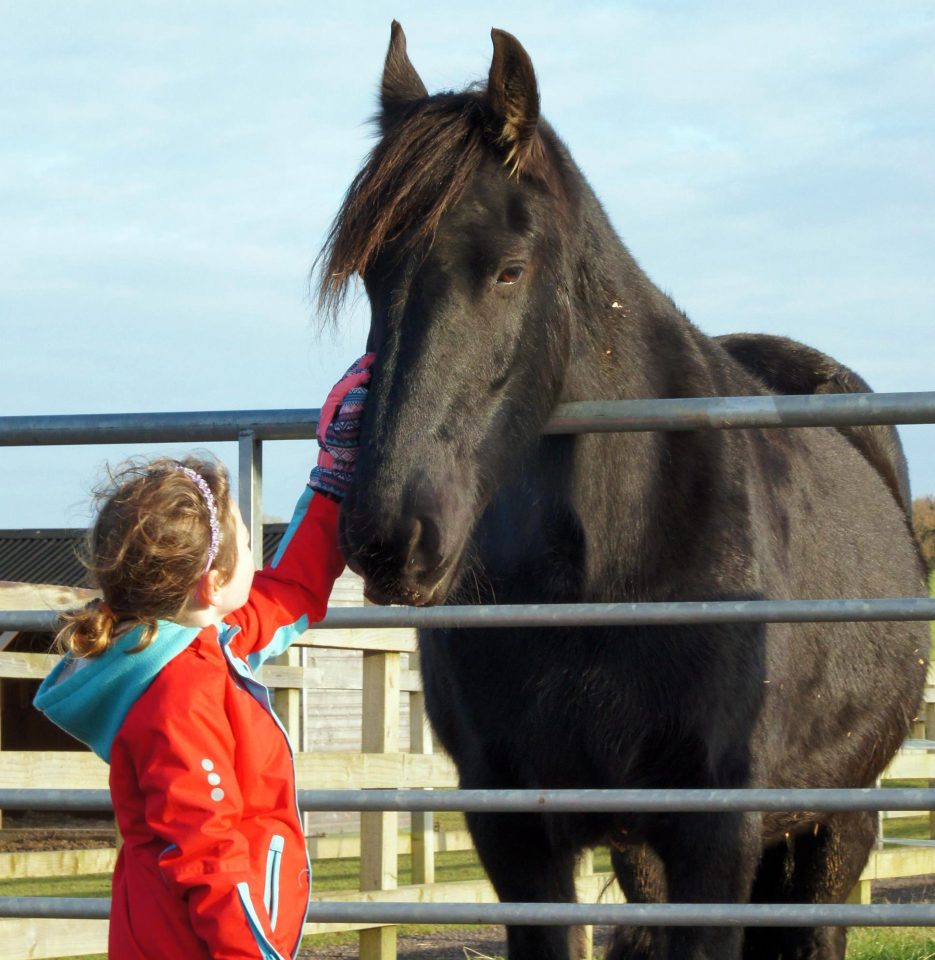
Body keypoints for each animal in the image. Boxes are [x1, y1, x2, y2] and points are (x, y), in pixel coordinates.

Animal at [316, 22, 928, 960]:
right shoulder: (517, 836)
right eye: (372, 278)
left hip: (838, 823)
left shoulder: (715, 836)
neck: (606, 571)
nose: (390, 536)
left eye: (508, 270)